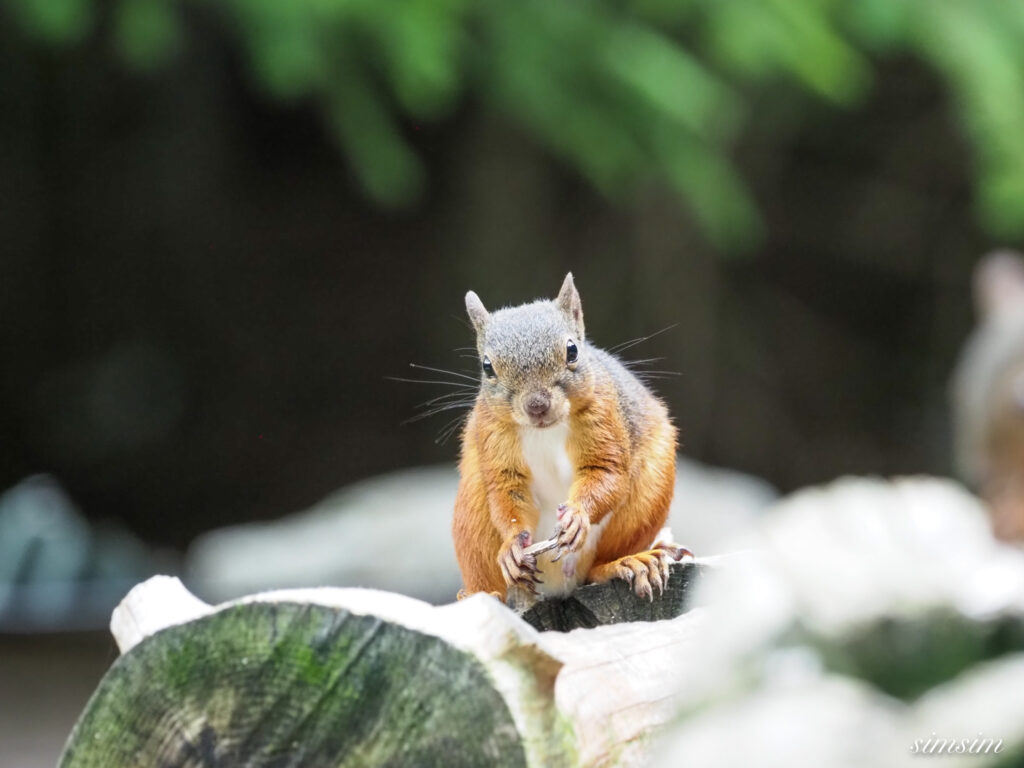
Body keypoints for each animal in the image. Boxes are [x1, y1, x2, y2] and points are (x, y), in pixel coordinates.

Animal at [454, 274, 688, 606]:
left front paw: (577, 516)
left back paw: (628, 562)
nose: (537, 406)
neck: (545, 430)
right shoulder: (493, 433)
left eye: (572, 350)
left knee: (595, 569)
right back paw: (481, 594)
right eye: (487, 367)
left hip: (646, 498)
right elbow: (506, 490)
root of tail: (555, 587)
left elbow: (606, 473)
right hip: (472, 510)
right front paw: (512, 545)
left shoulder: (603, 415)